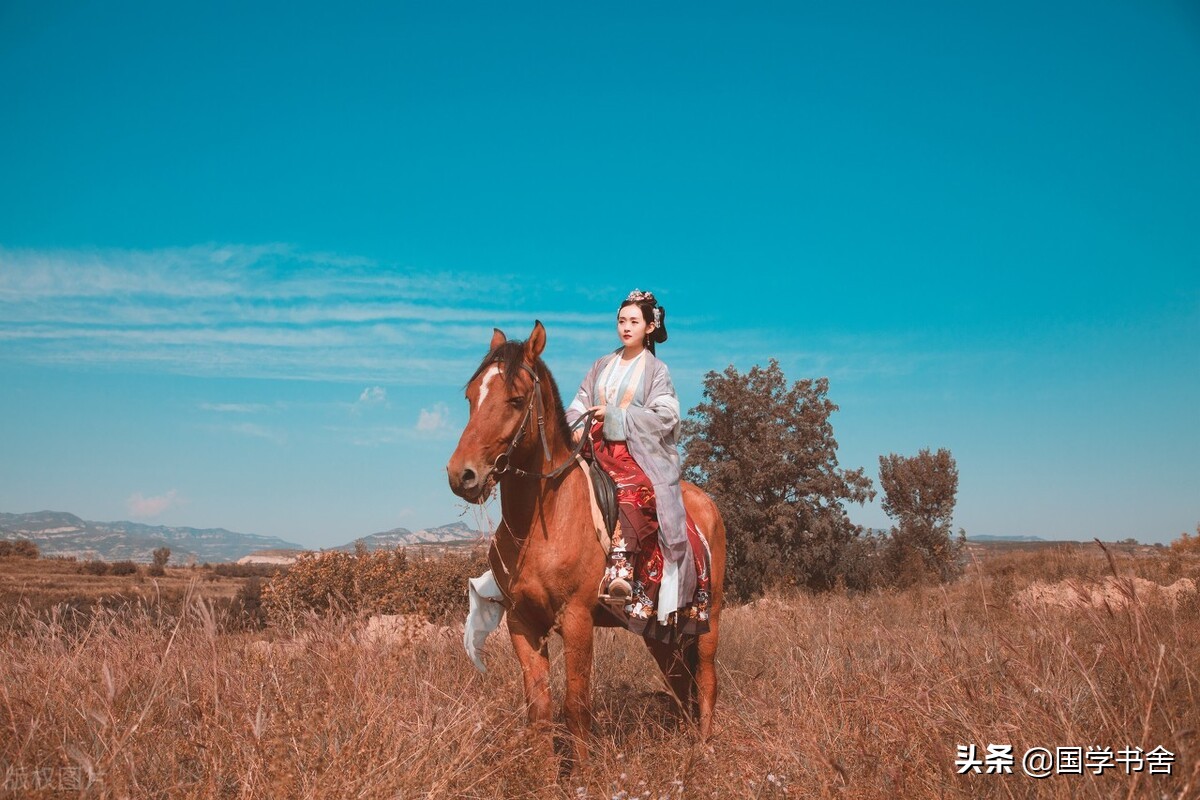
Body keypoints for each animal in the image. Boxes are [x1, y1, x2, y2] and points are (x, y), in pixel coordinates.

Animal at [448, 321, 720, 762]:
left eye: (516, 399)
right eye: (471, 397)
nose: (462, 475)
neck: (541, 523)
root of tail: (707, 505)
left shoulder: (577, 620)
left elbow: (576, 708)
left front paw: (584, 772)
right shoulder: (522, 623)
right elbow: (539, 711)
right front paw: (545, 774)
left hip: (709, 617)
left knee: (707, 678)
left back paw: (705, 749)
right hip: (660, 630)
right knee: (680, 679)